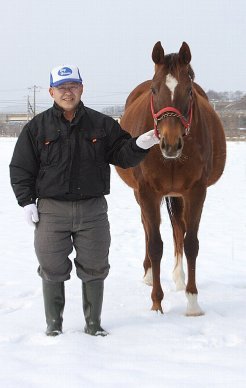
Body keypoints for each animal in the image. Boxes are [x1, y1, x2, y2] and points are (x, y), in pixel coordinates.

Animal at [116, 41, 226, 316]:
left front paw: (193, 302)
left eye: (188, 91)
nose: (170, 143)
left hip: (176, 195)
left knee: (178, 228)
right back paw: (148, 274)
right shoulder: (147, 192)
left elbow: (191, 243)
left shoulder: (196, 192)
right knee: (147, 229)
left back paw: (179, 277)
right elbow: (156, 244)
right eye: (155, 90)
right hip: (142, 195)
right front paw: (156, 303)